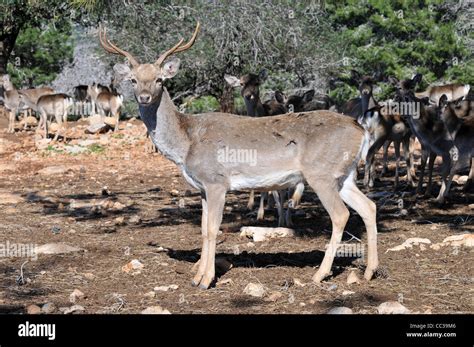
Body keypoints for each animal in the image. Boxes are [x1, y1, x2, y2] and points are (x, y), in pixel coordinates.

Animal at [98, 21, 380, 290]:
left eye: (159, 80)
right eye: (133, 80)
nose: (144, 97)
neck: (186, 142)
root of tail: (360, 129)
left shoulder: (217, 181)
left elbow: (213, 229)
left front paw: (206, 280)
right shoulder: (202, 188)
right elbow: (202, 230)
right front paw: (196, 276)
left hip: (321, 174)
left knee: (341, 214)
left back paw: (320, 274)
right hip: (344, 175)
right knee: (369, 206)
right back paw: (369, 271)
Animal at [390, 73, 472, 204]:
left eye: (412, 86)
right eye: (397, 87)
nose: (397, 98)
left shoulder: (435, 147)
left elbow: (429, 164)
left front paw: (424, 191)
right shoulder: (423, 143)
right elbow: (418, 160)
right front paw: (416, 187)